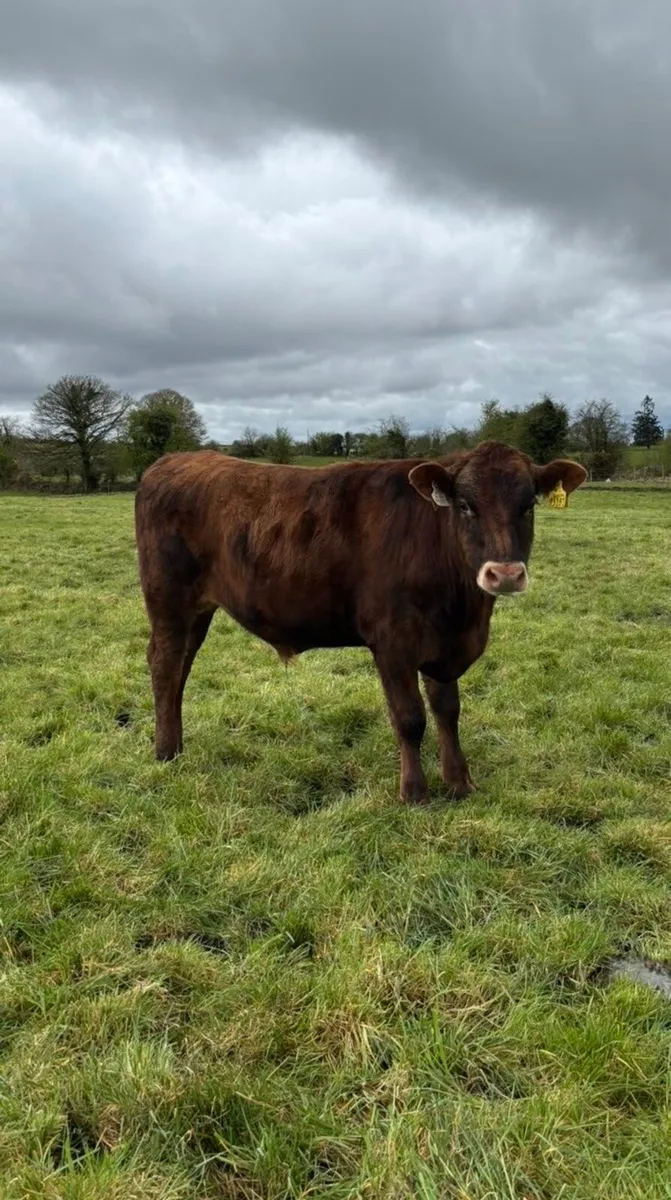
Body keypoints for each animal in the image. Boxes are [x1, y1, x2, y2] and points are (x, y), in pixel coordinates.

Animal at [134, 441, 587, 803]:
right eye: (465, 506)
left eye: (528, 506)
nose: (504, 574)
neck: (463, 611)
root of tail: (174, 459)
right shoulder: (392, 643)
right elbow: (410, 718)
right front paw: (414, 793)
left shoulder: (443, 645)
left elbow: (448, 710)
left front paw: (459, 782)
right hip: (169, 601)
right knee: (165, 665)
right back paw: (165, 752)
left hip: (196, 611)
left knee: (180, 668)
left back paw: (176, 745)